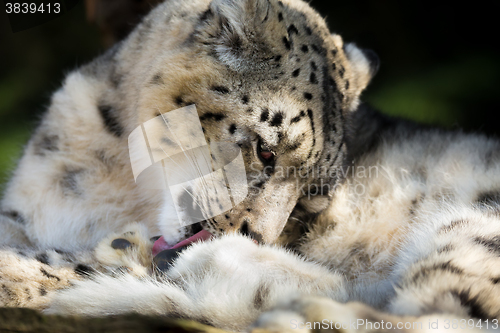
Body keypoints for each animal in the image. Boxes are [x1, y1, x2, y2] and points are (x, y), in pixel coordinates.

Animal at [0, 0, 500, 330]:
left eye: (312, 196)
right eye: (266, 151)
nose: (257, 233)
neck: (117, 179)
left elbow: (66, 261)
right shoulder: (21, 212)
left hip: (475, 228)